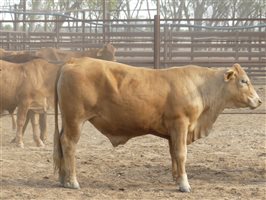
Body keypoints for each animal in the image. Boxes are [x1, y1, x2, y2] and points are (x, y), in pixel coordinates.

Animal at [53, 57, 260, 192]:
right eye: (244, 81)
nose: (258, 101)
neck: (199, 87)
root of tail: (73, 62)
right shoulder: (180, 123)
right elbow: (181, 154)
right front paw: (184, 184)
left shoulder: (173, 132)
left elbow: (173, 154)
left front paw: (176, 179)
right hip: (75, 119)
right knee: (69, 144)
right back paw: (72, 181)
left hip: (68, 120)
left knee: (61, 143)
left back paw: (63, 179)